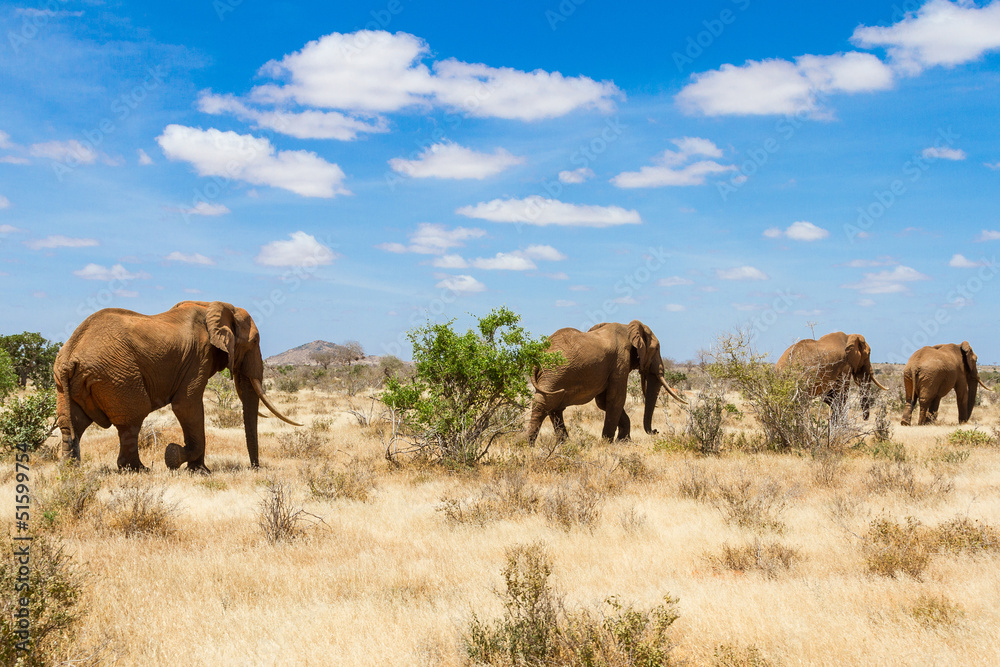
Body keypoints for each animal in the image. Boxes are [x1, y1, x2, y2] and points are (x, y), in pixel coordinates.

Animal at [53, 300, 300, 472]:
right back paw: (139, 470)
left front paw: (189, 465)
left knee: (72, 423)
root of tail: (70, 355)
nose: (255, 468)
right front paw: (186, 463)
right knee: (132, 419)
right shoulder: (199, 355)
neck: (216, 305)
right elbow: (187, 405)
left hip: (69, 382)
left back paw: (69, 471)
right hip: (116, 375)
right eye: (256, 341)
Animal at [524, 320, 688, 446]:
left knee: (554, 405)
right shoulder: (620, 362)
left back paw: (564, 445)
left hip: (553, 374)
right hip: (554, 371)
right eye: (657, 348)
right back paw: (527, 445)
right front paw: (608, 443)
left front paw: (623, 442)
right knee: (544, 402)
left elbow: (603, 402)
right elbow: (616, 399)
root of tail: (538, 354)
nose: (656, 431)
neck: (628, 327)